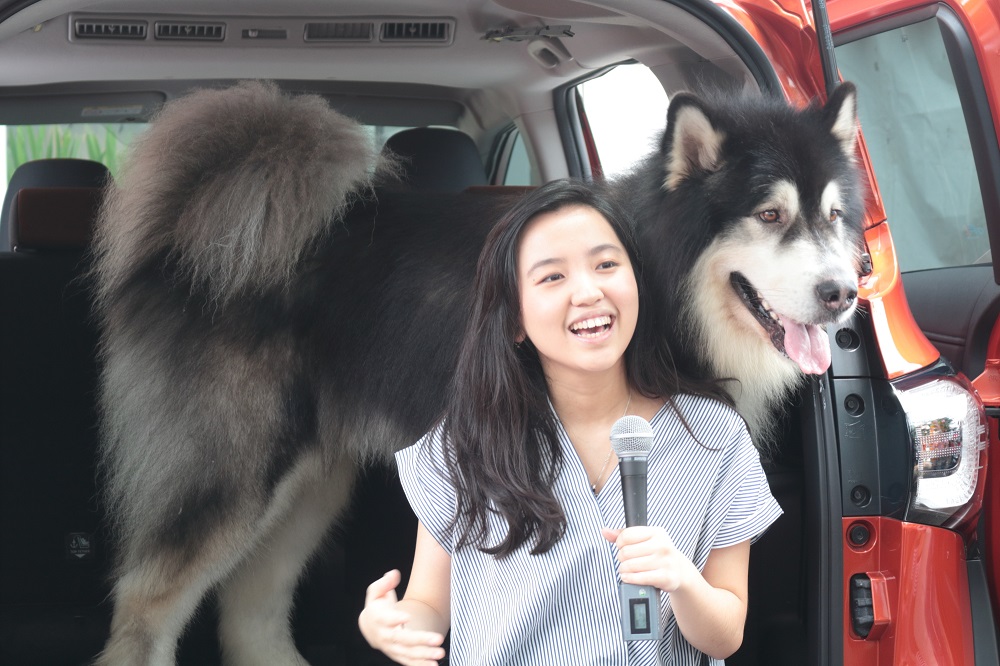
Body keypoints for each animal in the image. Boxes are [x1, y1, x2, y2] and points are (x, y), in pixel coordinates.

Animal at [90, 80, 864, 660]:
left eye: (833, 217)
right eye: (769, 215)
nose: (844, 294)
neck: (660, 281)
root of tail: (179, 245)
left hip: (310, 483)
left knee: (251, 599)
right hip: (232, 474)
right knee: (146, 606)